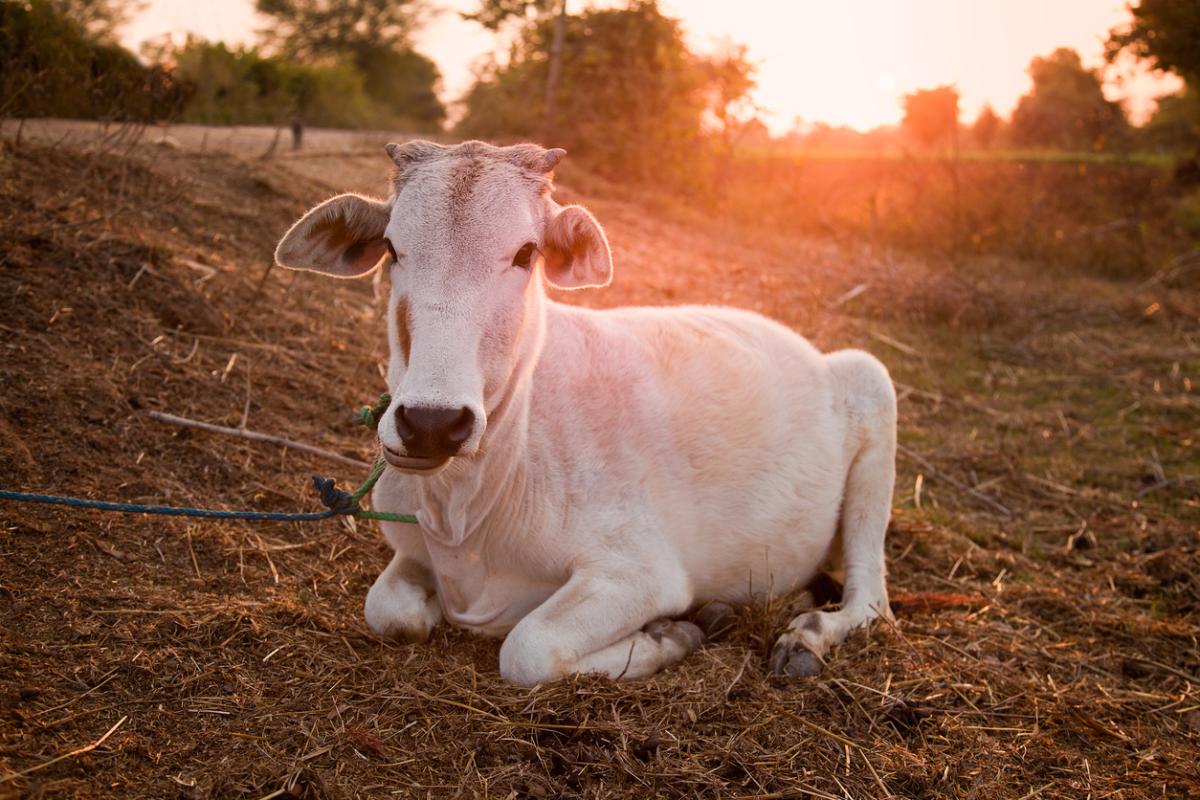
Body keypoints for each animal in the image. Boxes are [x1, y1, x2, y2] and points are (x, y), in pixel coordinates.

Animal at [273, 140, 897, 686]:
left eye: (526, 254)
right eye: (393, 249)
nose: (431, 423)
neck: (467, 513)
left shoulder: (639, 571)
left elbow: (526, 649)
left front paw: (670, 635)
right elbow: (388, 612)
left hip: (875, 384)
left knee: (872, 600)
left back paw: (805, 637)